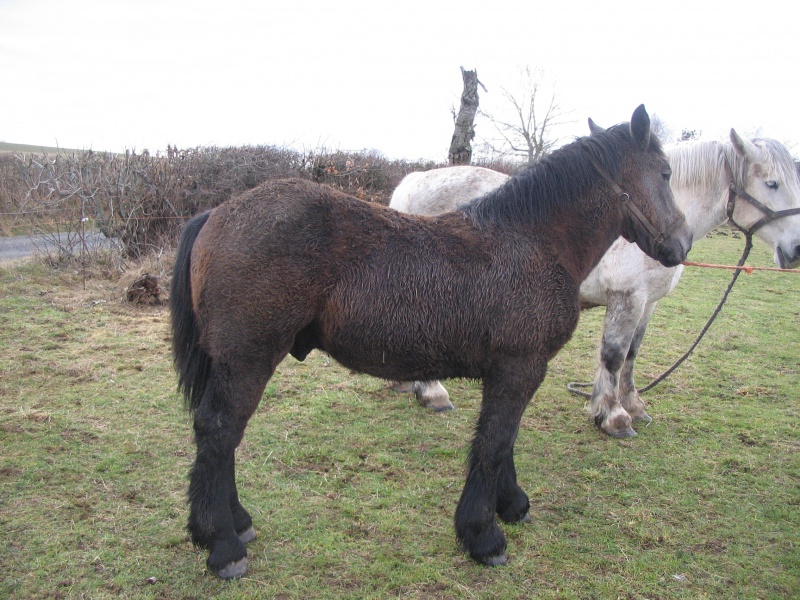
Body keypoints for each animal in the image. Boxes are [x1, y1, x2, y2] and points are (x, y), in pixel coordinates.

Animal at [390, 127, 800, 436]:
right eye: (772, 183)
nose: (795, 250)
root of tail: (414, 181)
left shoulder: (648, 303)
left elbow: (632, 355)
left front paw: (633, 406)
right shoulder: (626, 299)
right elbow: (613, 356)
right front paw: (613, 417)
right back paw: (433, 393)